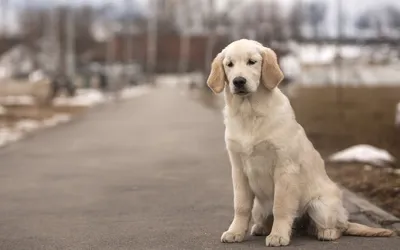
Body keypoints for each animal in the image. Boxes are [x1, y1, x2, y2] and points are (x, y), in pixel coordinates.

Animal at [208, 38, 396, 246]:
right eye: (229, 64)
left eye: (252, 62)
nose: (238, 81)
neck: (250, 113)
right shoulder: (239, 169)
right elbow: (241, 206)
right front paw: (235, 232)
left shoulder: (285, 168)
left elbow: (281, 206)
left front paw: (278, 235)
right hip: (259, 207)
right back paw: (261, 228)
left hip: (320, 206)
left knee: (338, 226)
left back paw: (326, 232)